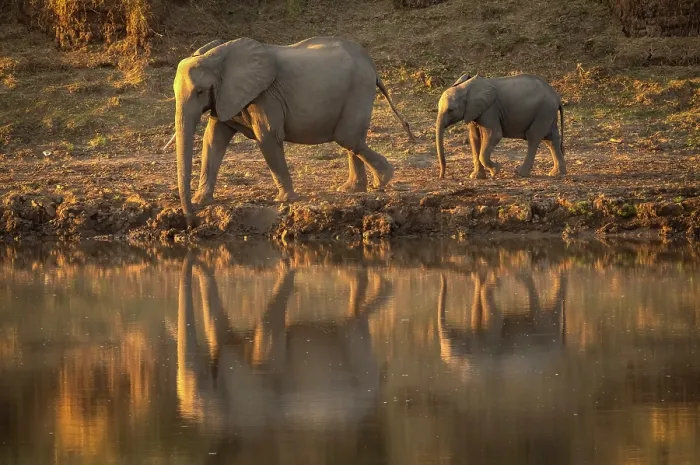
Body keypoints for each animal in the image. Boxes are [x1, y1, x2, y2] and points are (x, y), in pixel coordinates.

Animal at [166, 36, 415, 227]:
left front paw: (285, 200)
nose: (191, 222)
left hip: (359, 88)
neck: (218, 56)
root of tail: (373, 66)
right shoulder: (226, 97)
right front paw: (203, 201)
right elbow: (213, 139)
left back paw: (382, 180)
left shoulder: (264, 96)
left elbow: (267, 135)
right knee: (352, 139)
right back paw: (353, 189)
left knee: (348, 137)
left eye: (200, 92)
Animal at [435, 73, 566, 180]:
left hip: (544, 111)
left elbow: (494, 135)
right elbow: (474, 138)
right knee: (551, 139)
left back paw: (520, 173)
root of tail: (557, 97)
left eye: (450, 110)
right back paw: (557, 174)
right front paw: (476, 177)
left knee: (534, 137)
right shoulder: (473, 111)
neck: (466, 87)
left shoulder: (489, 109)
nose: (442, 176)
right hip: (548, 113)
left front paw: (496, 170)